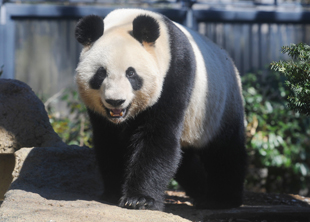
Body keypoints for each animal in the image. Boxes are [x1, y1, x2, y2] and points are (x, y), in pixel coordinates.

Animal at [75, 8, 247, 211]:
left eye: (131, 73)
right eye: (101, 73)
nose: (115, 101)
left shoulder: (175, 74)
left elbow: (158, 136)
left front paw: (139, 199)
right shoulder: (100, 115)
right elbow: (109, 142)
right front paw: (113, 192)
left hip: (220, 106)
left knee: (226, 152)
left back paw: (221, 199)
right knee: (185, 160)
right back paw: (200, 190)